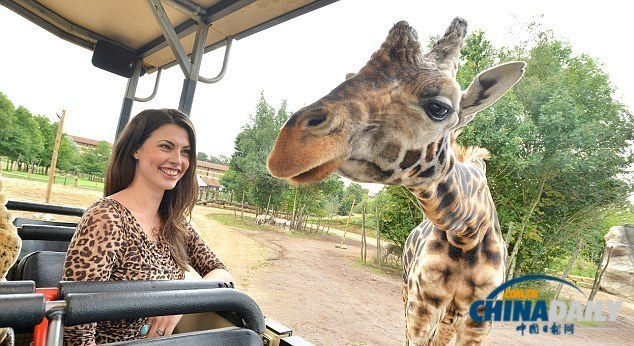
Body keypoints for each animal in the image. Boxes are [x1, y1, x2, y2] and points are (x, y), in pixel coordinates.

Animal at [266, 17, 524, 344]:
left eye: (439, 107)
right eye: (353, 75)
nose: (286, 149)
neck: (467, 234)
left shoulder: (478, 321)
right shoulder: (421, 304)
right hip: (408, 293)